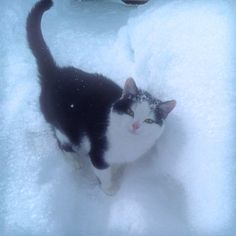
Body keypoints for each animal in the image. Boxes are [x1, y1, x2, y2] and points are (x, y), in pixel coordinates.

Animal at [26, 0, 176, 195]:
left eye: (149, 121)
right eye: (130, 112)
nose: (135, 126)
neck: (128, 142)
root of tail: (56, 72)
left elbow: (117, 165)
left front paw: (117, 172)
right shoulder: (99, 151)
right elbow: (103, 172)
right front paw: (109, 188)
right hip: (62, 122)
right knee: (60, 139)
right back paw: (73, 159)